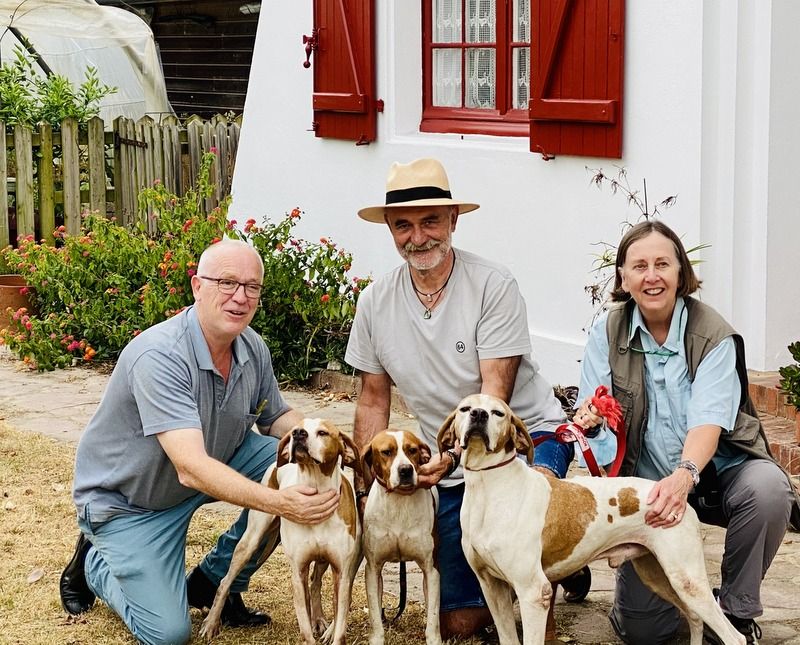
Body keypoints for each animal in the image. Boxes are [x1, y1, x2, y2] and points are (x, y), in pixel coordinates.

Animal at [200, 420, 362, 640]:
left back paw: (318, 619)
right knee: (225, 581)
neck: (316, 488)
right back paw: (211, 623)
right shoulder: (298, 572)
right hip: (250, 540)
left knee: (316, 583)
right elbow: (305, 628)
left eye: (322, 432)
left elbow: (339, 626)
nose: (298, 433)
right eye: (296, 429)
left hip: (323, 561)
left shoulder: (342, 573)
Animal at [362, 428, 444, 644]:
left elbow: (433, 617)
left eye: (412, 450)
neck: (399, 501)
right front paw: (377, 638)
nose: (406, 470)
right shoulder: (372, 569)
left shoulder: (431, 570)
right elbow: (375, 614)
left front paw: (434, 639)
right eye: (386, 452)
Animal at [438, 392, 744, 644]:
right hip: (658, 575)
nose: (479, 415)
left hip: (688, 580)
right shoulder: (492, 588)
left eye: (498, 413)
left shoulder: (533, 592)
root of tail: (679, 498)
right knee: (694, 618)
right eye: (465, 408)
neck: (489, 487)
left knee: (734, 636)